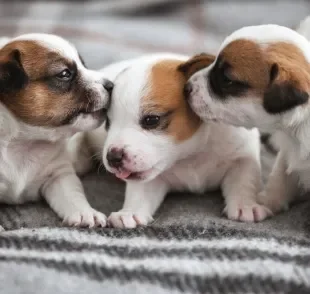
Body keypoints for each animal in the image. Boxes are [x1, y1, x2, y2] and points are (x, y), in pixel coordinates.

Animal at [0, 34, 112, 227]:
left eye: (84, 64)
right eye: (65, 73)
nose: (112, 85)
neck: (23, 143)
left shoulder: (59, 175)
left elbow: (73, 195)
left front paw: (85, 213)